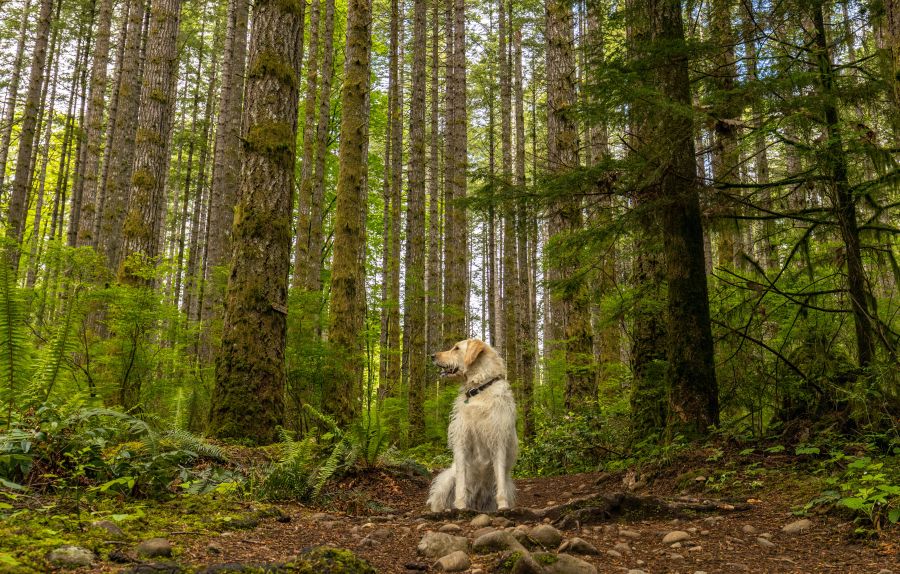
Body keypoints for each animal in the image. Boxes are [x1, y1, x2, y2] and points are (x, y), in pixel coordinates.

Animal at [428, 338, 520, 512]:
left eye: (456, 348)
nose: (432, 355)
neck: (479, 389)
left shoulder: (498, 441)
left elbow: (500, 481)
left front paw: (503, 506)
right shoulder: (461, 441)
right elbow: (461, 484)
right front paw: (460, 506)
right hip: (447, 479)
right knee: (439, 500)